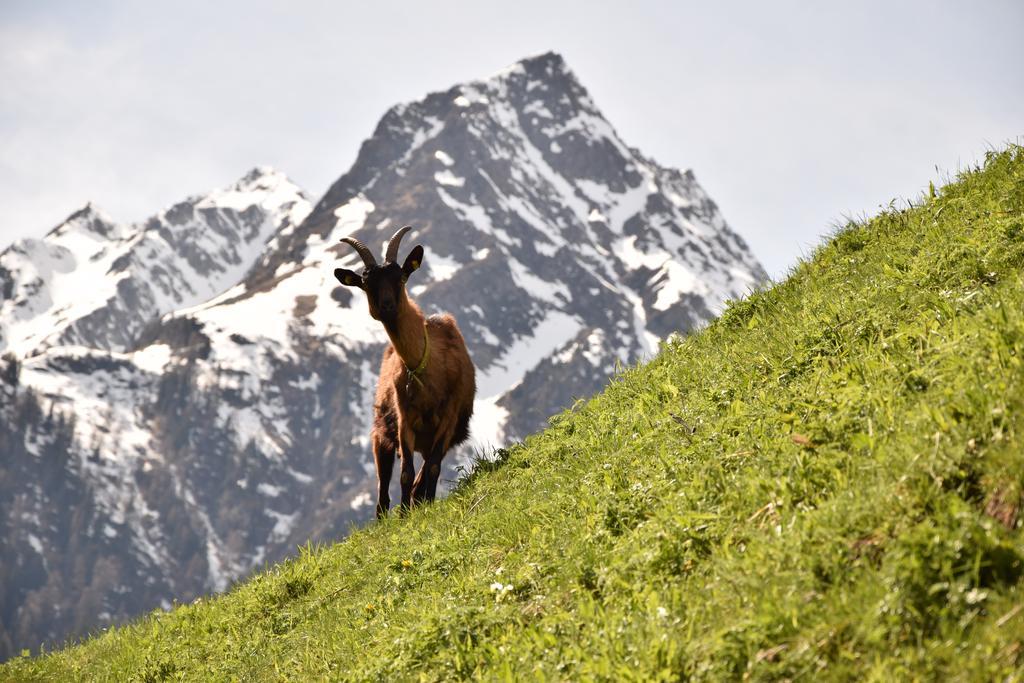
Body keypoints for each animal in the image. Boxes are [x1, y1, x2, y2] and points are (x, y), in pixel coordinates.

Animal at [337, 227, 477, 516]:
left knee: (424, 473)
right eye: (365, 283)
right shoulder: (404, 420)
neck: (426, 370)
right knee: (383, 486)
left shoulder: (448, 420)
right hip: (381, 434)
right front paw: (403, 515)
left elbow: (431, 469)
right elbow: (405, 473)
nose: (387, 306)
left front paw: (425, 504)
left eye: (401, 277)